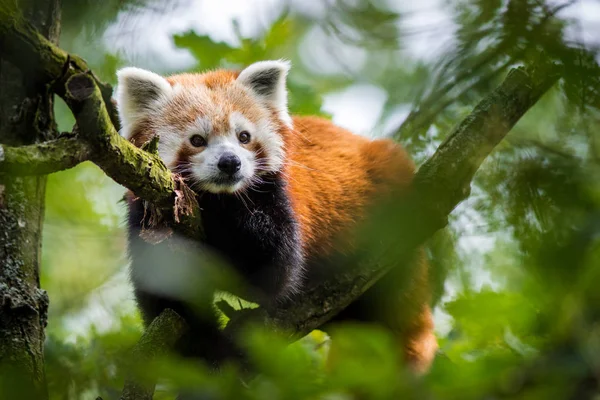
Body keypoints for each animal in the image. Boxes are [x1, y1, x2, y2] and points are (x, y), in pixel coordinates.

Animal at [116, 61, 436, 374]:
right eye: (197, 140)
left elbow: (273, 271)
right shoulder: (147, 222)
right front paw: (211, 354)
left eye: (244, 137)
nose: (230, 163)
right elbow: (170, 302)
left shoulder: (277, 199)